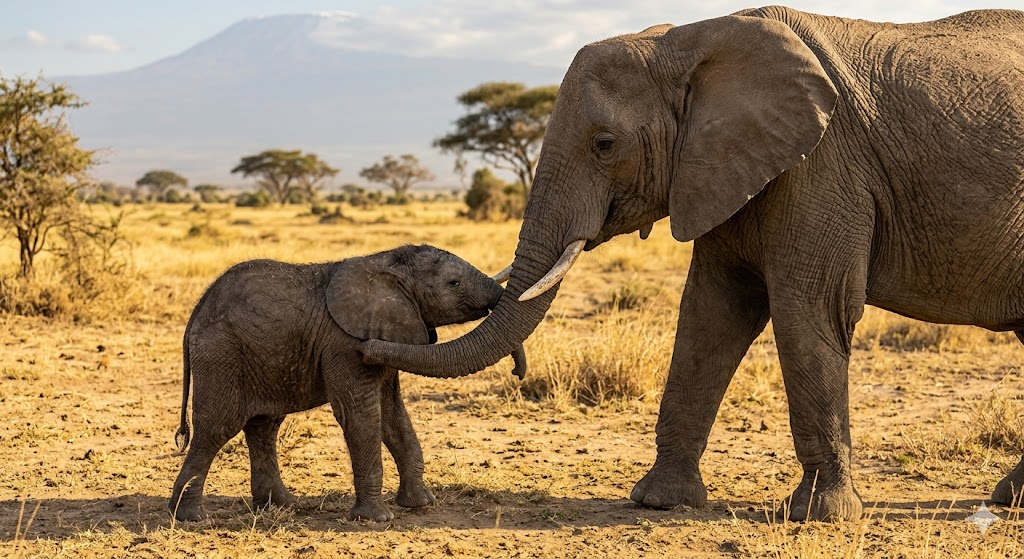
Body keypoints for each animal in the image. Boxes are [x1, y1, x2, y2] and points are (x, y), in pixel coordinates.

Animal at [169, 244, 526, 522]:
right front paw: (377, 518)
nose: (517, 373)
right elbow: (360, 414)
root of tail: (195, 314)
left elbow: (392, 415)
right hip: (221, 355)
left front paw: (421, 504)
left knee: (264, 425)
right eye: (454, 283)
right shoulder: (342, 345)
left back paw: (282, 505)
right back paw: (190, 517)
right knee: (217, 428)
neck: (389, 265)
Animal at [360, 7, 1024, 521]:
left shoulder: (823, 166)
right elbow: (711, 313)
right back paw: (1010, 499)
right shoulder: (722, 166)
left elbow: (807, 309)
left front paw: (819, 516)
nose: (367, 346)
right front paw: (659, 502)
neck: (684, 42)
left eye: (605, 144)